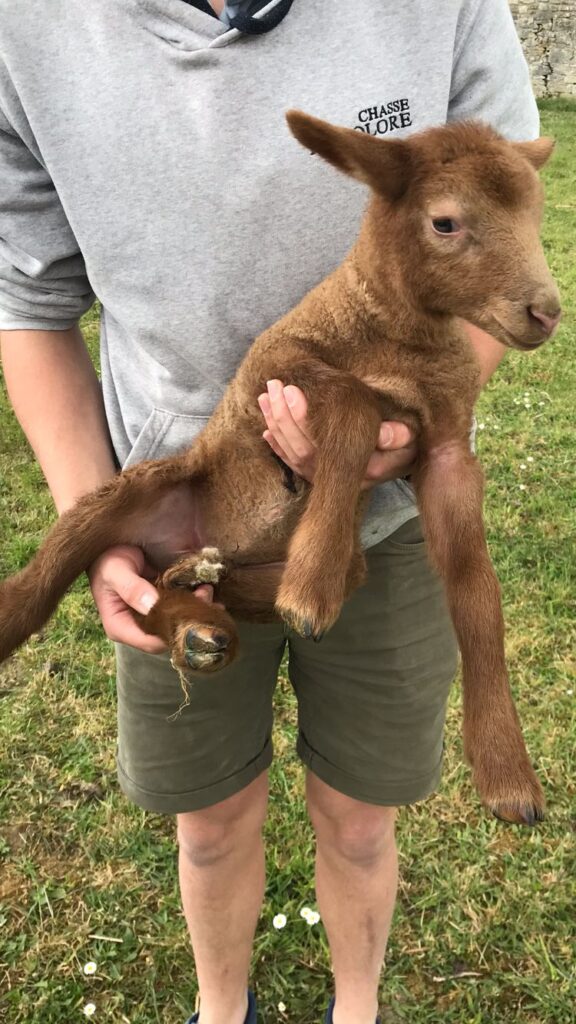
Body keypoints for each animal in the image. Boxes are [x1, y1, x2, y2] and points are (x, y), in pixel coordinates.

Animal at [0, 112, 557, 827]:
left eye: (535, 214)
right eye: (445, 223)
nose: (546, 312)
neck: (399, 339)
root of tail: (180, 539)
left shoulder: (447, 448)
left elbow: (477, 591)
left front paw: (507, 772)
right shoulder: (275, 366)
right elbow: (352, 404)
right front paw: (310, 592)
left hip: (288, 565)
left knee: (184, 586)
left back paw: (198, 608)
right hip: (123, 496)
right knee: (42, 586)